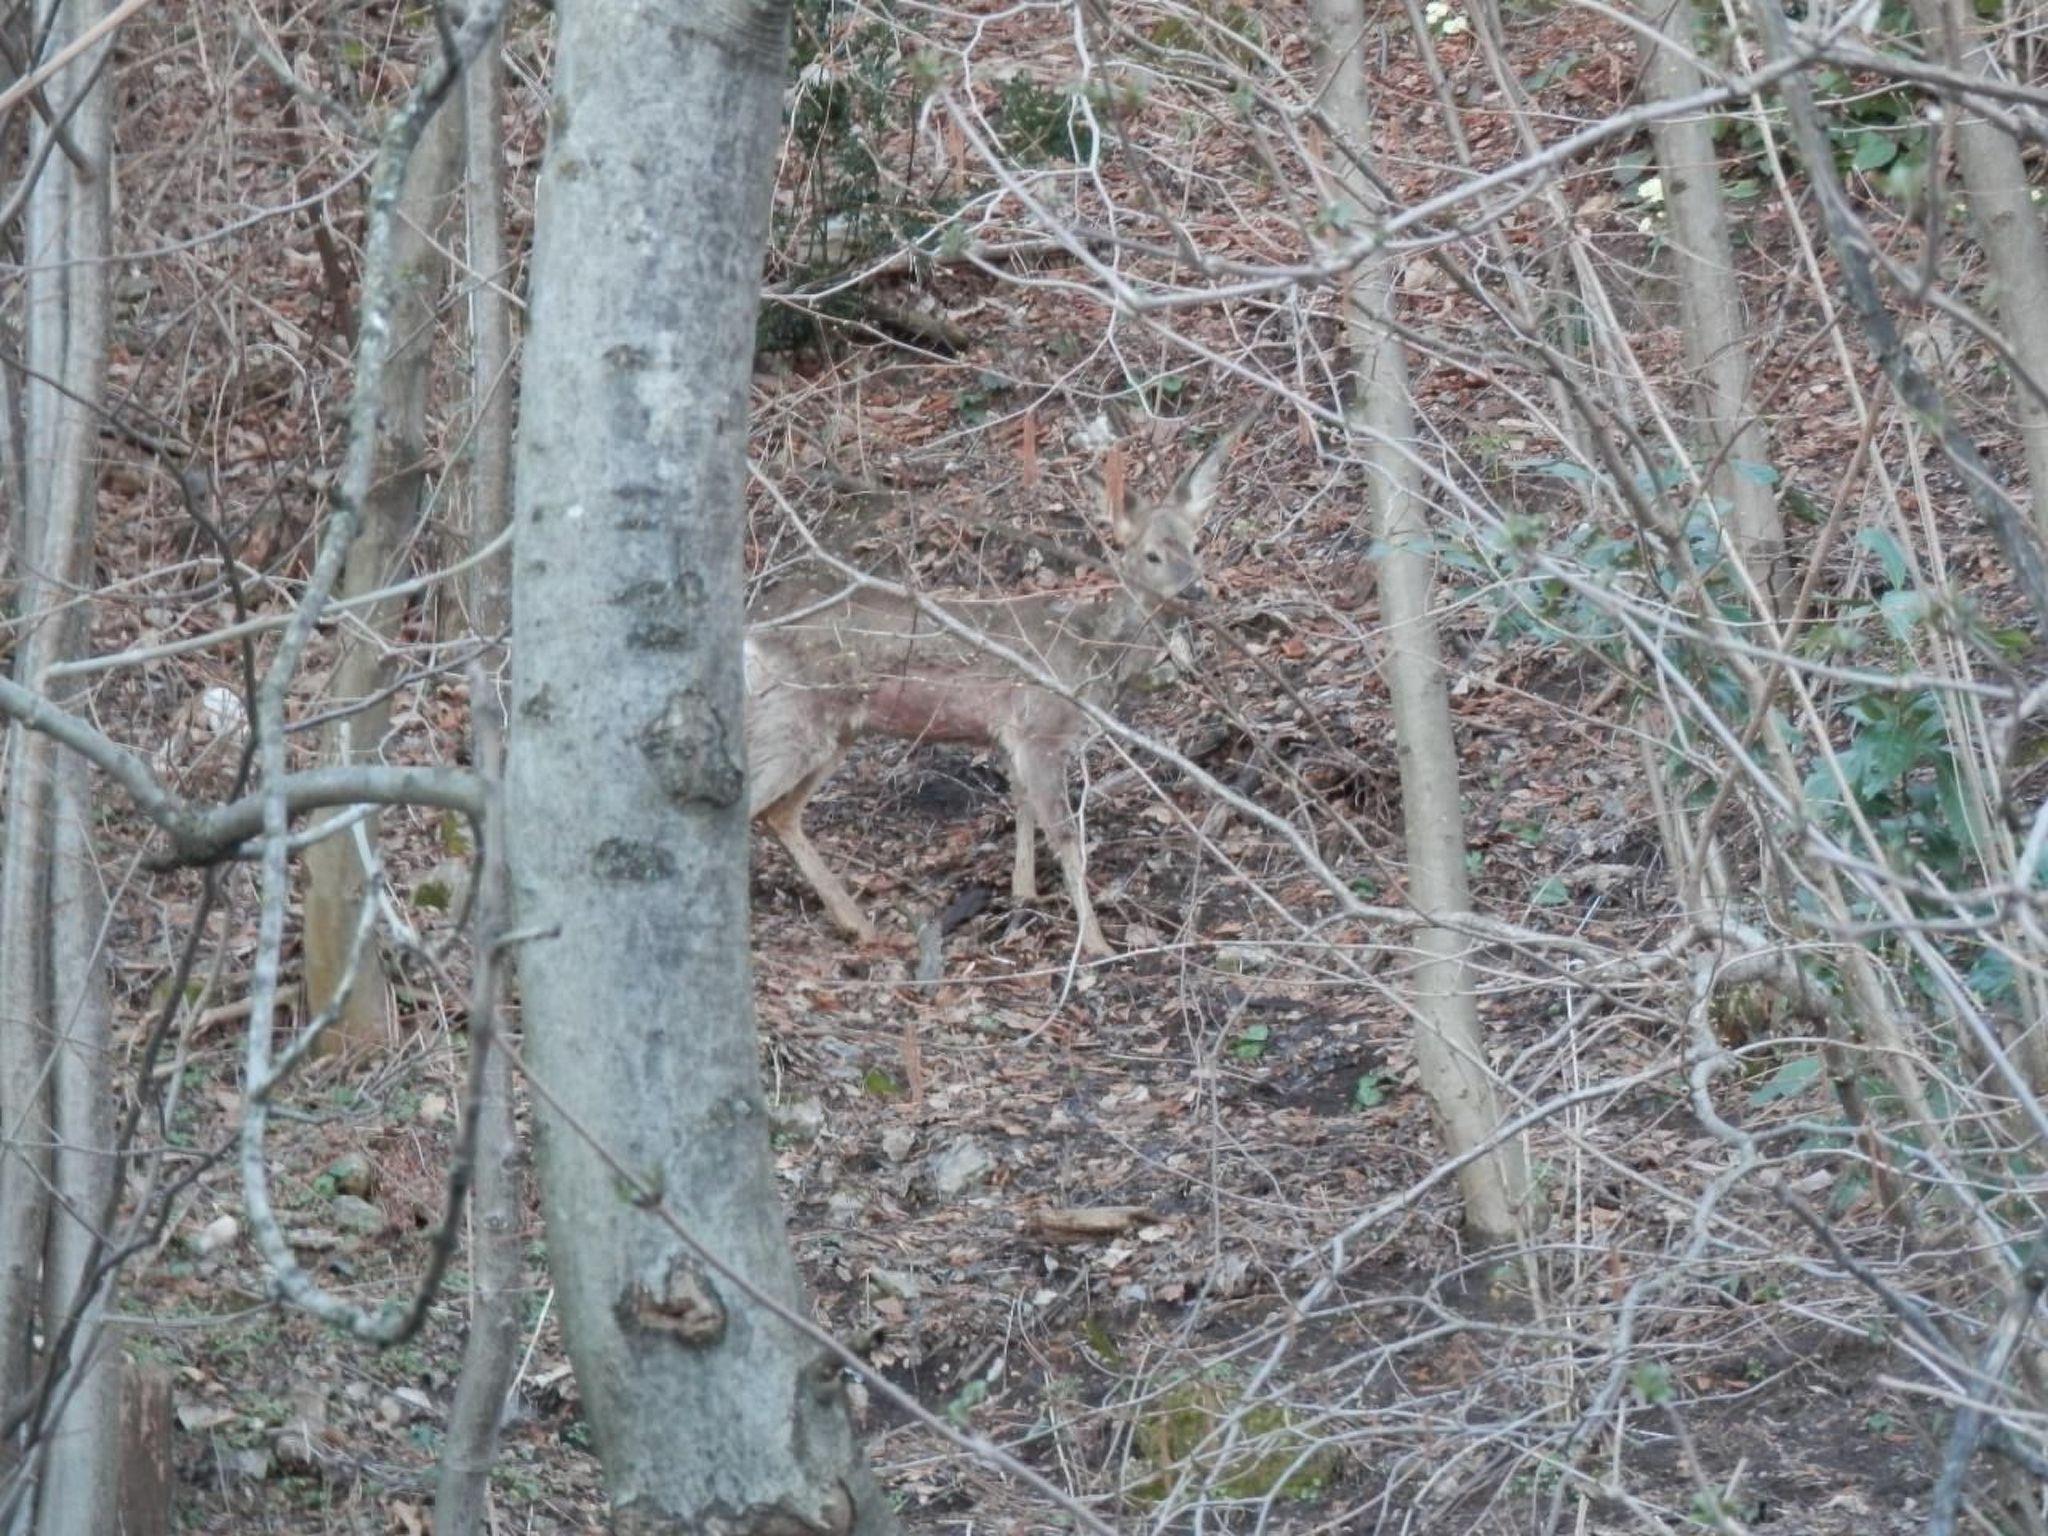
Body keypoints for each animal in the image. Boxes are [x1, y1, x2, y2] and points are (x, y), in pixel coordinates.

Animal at [744, 416, 1247, 956]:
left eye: (1196, 545)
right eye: (1151, 555)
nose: (1196, 591)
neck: (1094, 655)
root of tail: (751, 633)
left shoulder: (1012, 737)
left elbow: (1021, 806)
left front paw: (1024, 892)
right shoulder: (1040, 728)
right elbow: (1065, 836)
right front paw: (1095, 944)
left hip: (837, 730)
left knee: (779, 813)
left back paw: (859, 925)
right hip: (792, 717)